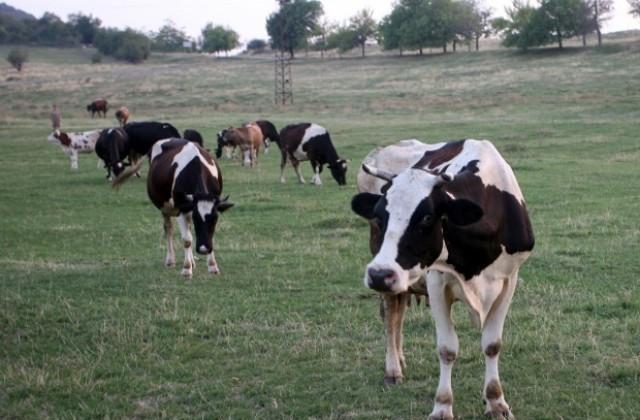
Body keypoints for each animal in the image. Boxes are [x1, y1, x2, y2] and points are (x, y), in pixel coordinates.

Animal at [113, 137, 235, 276]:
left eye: (215, 219)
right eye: (196, 218)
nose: (204, 249)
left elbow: (210, 237)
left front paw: (212, 266)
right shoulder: (181, 208)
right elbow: (187, 240)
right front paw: (186, 269)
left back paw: (192, 261)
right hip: (164, 207)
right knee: (168, 228)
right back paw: (171, 260)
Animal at [350, 139, 536, 420]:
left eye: (427, 217)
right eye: (380, 216)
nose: (379, 274)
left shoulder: (508, 280)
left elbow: (492, 344)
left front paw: (495, 401)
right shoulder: (437, 283)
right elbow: (447, 349)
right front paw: (442, 406)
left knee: (399, 313)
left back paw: (400, 358)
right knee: (391, 315)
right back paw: (393, 368)